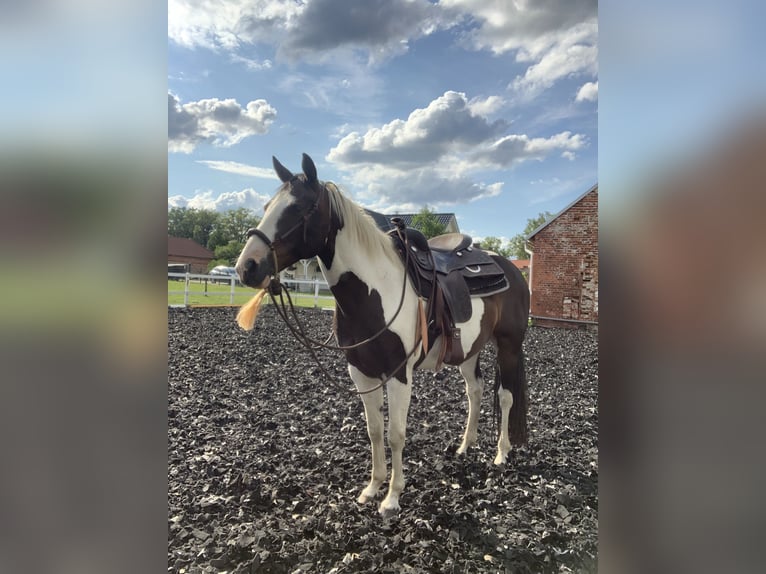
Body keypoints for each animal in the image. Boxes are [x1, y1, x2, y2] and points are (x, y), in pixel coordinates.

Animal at [237, 154, 532, 516]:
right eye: (267, 206)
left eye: (297, 208)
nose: (246, 266)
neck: (375, 289)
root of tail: (511, 270)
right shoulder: (362, 373)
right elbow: (375, 430)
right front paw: (372, 487)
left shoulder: (398, 375)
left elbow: (395, 434)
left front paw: (392, 497)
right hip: (469, 350)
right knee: (474, 391)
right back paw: (466, 445)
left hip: (509, 346)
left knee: (505, 397)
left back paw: (501, 453)